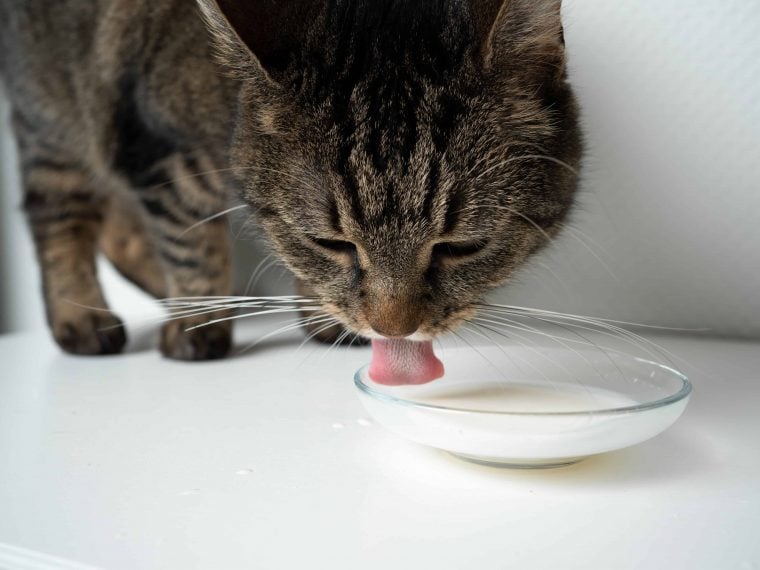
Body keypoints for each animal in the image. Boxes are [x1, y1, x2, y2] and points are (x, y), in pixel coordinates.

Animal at [0, 1, 580, 360]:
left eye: (462, 247)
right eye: (332, 242)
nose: (392, 329)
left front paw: (321, 312)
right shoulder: (159, 148)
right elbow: (190, 244)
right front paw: (199, 320)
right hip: (53, 121)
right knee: (59, 219)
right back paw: (83, 317)